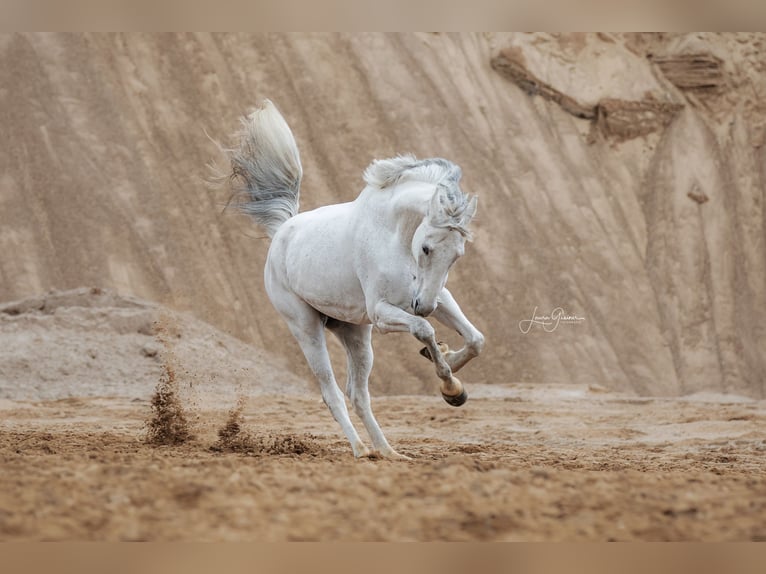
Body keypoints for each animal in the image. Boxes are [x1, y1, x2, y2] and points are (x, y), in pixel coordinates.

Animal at [216, 99, 484, 460]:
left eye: (457, 254)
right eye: (426, 247)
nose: (423, 305)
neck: (393, 234)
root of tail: (282, 231)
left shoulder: (437, 297)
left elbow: (475, 339)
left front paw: (450, 373)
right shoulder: (383, 313)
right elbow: (424, 329)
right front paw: (450, 387)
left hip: (354, 332)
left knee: (357, 394)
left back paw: (389, 452)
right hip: (307, 328)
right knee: (332, 392)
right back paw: (361, 450)